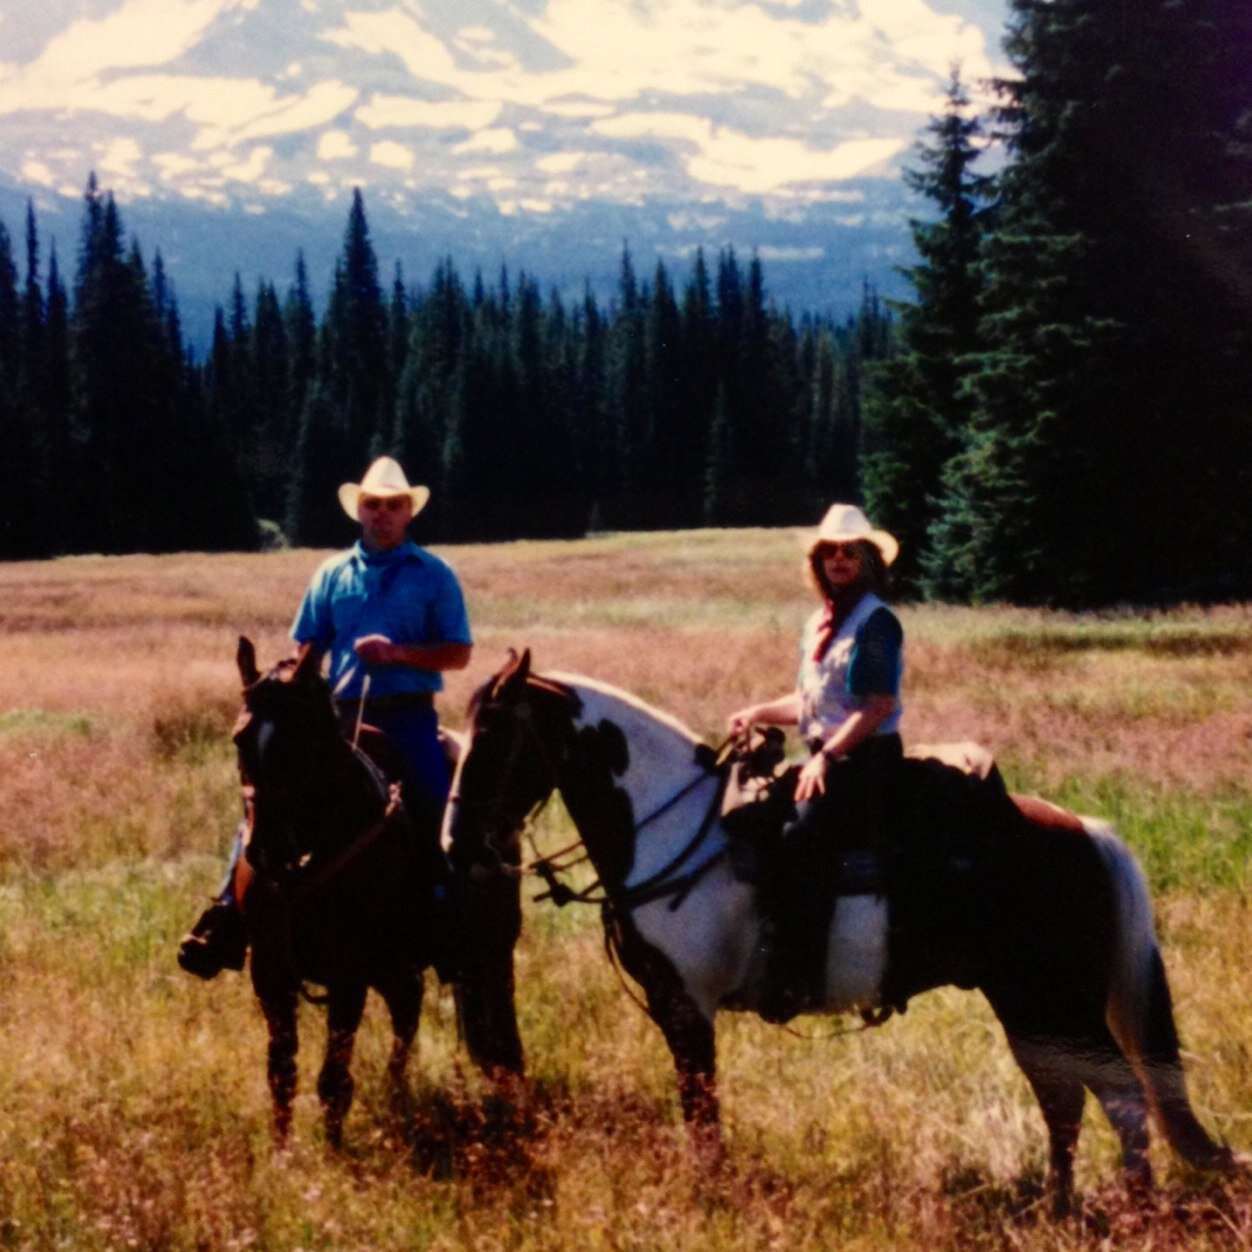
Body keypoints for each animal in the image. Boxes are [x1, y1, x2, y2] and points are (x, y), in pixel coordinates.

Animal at [232, 641, 453, 1141]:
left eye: (300, 739)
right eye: (240, 739)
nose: (265, 848)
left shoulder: (349, 973)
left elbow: (333, 1079)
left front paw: (334, 1149)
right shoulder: (270, 976)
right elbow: (281, 1073)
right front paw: (282, 1149)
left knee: (409, 1013)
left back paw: (397, 1094)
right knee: (408, 1003)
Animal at [443, 651, 1241, 1216]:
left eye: (493, 737)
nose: (456, 842)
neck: (668, 825)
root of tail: (1086, 832)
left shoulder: (686, 1007)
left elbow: (700, 1109)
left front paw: (707, 1193)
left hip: (1058, 1003)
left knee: (1122, 1099)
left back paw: (1131, 1209)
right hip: (1028, 1007)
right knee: (1066, 1100)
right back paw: (1058, 1204)